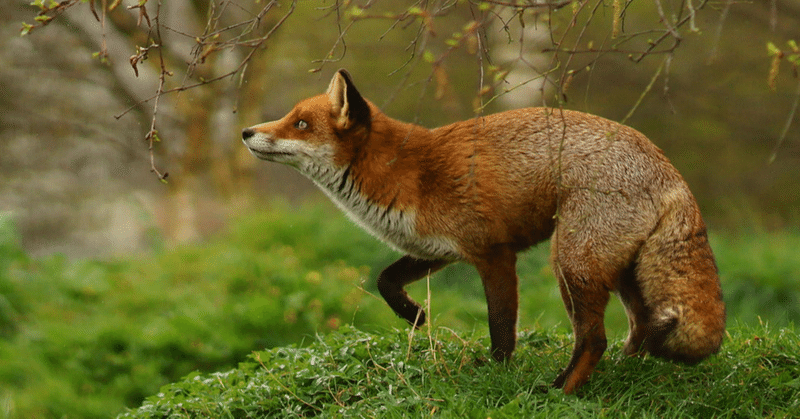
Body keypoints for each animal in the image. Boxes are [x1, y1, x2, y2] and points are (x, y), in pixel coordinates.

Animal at [242, 70, 724, 396]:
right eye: (290, 118)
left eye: (300, 125)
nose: (246, 131)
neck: (407, 174)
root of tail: (666, 166)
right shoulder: (437, 249)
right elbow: (384, 279)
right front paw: (414, 316)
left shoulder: (494, 253)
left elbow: (501, 329)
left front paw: (498, 375)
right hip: (620, 271)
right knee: (638, 326)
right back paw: (625, 374)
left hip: (571, 263)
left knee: (594, 338)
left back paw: (559, 391)